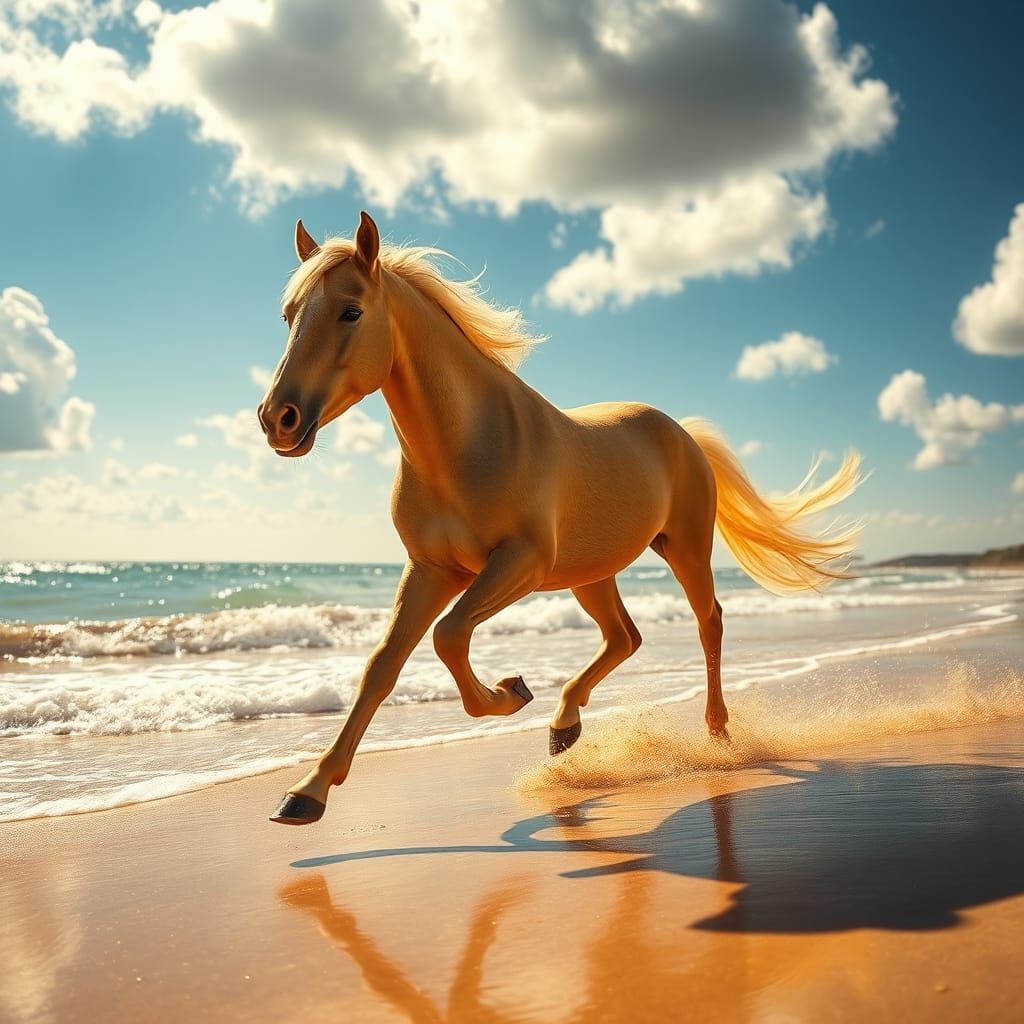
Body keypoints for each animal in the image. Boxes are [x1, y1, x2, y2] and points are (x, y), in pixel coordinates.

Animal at [260, 212, 863, 825]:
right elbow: (382, 666)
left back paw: (716, 735)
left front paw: (510, 692)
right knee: (625, 637)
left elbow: (449, 634)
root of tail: (682, 432)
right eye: (289, 315)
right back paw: (564, 726)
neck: (466, 444)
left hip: (684, 550)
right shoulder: (430, 569)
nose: (277, 419)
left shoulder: (519, 562)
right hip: (590, 573)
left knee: (707, 622)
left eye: (351, 311)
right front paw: (306, 792)